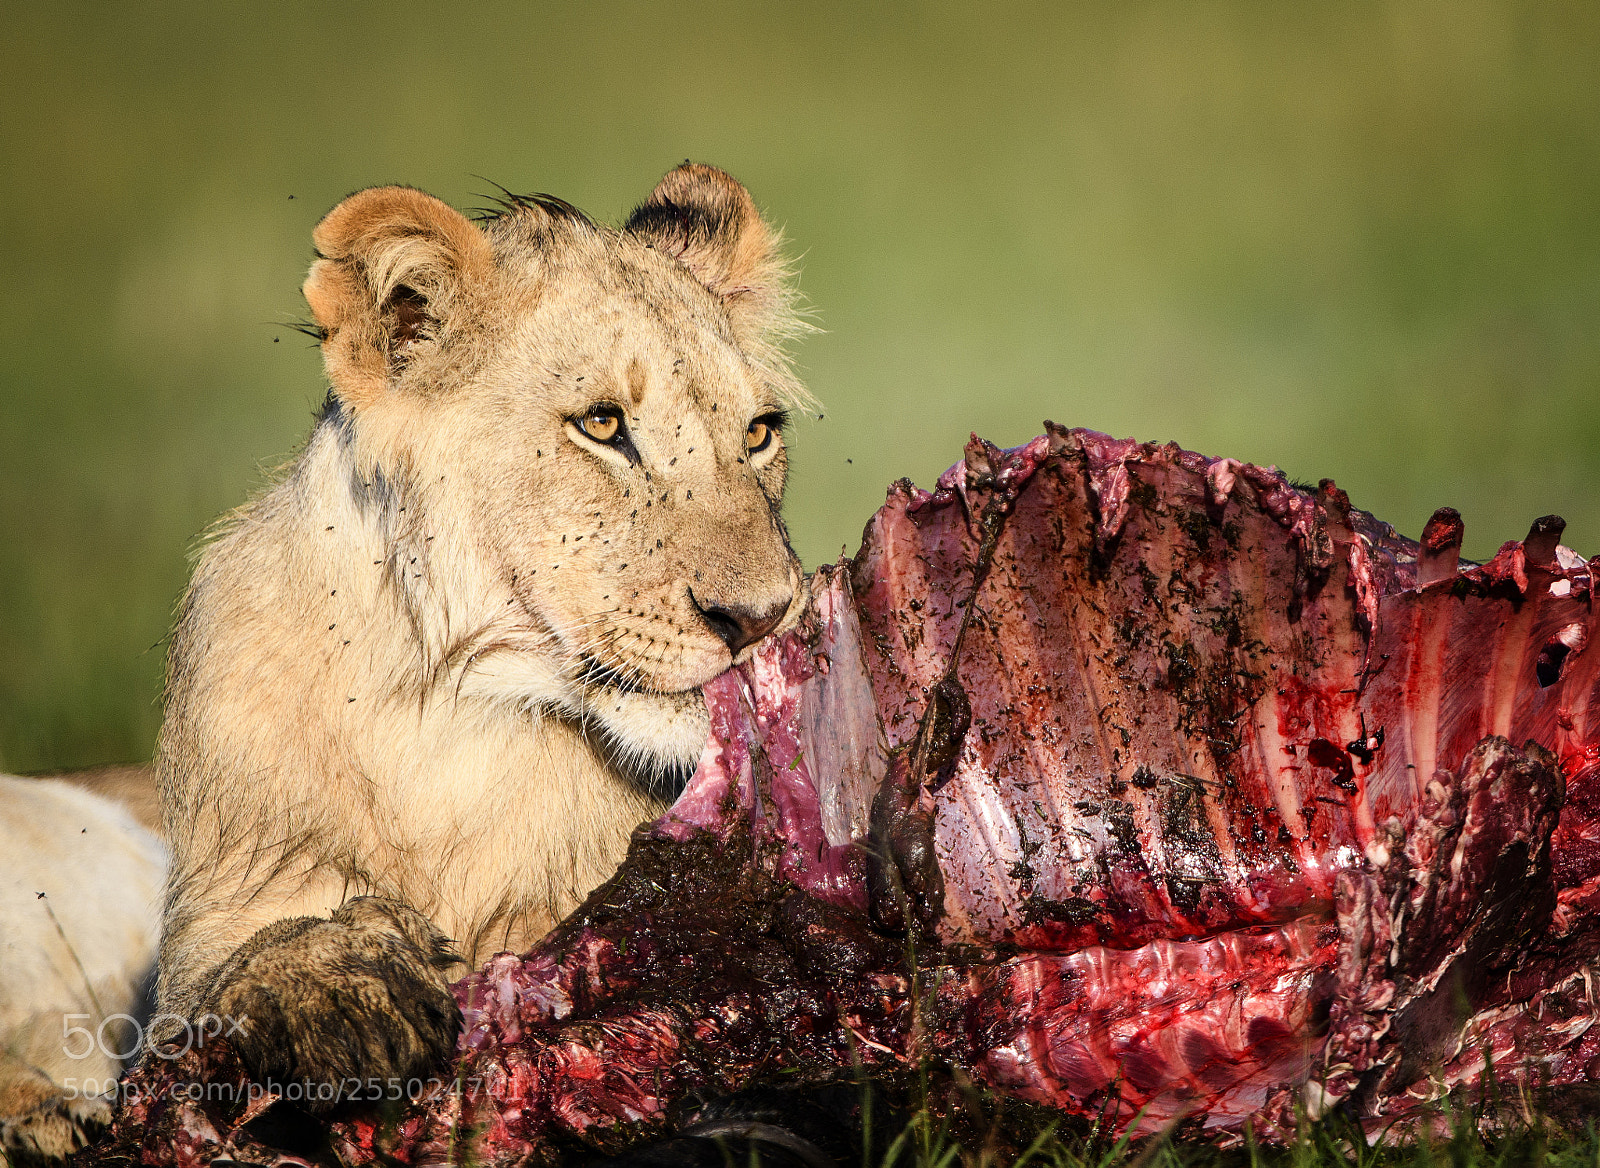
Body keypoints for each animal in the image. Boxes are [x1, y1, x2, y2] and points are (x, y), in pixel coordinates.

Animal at [155, 164, 811, 1103]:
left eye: (757, 434)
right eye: (602, 425)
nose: (762, 616)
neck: (453, 726)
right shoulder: (223, 907)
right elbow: (246, 955)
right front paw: (345, 992)